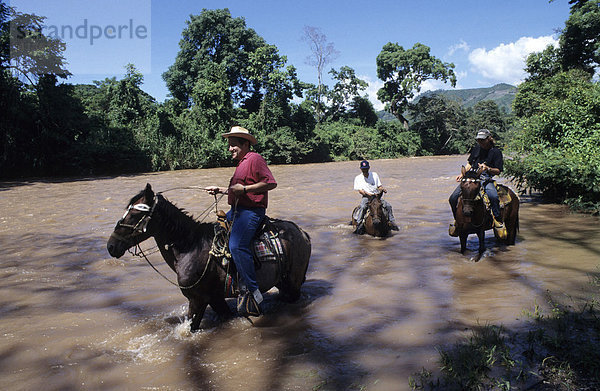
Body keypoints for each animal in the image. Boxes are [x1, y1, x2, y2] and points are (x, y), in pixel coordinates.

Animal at [106, 185, 312, 332]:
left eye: (135, 214)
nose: (111, 246)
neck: (190, 247)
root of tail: (302, 232)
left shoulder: (197, 299)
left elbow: (191, 328)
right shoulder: (215, 298)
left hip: (293, 284)